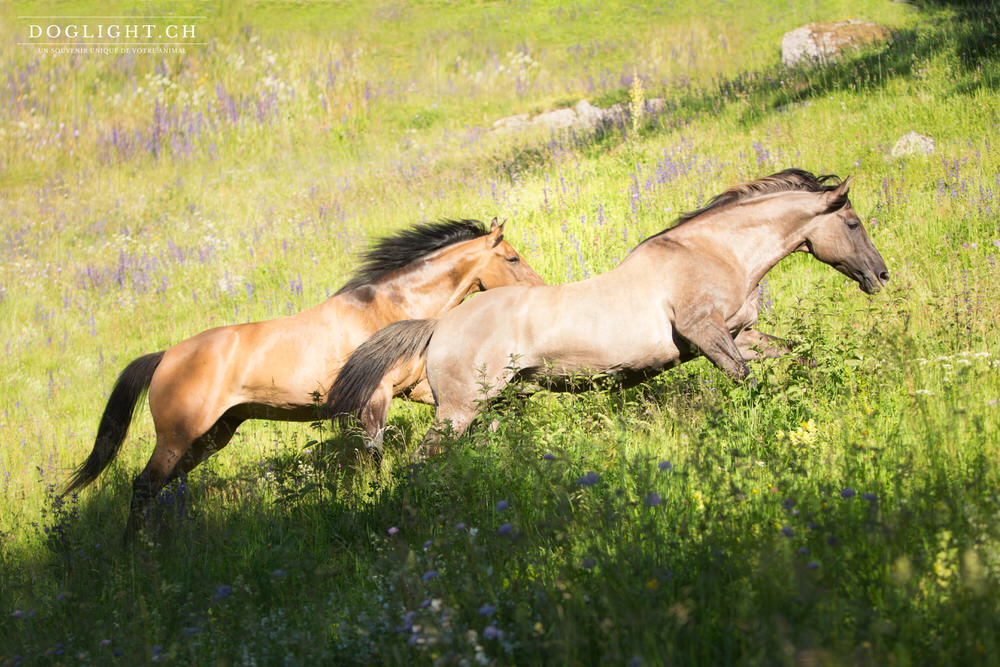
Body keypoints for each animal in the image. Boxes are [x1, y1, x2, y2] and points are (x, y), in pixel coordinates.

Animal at [65, 218, 544, 532]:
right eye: (513, 258)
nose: (541, 291)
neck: (387, 308)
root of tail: (164, 357)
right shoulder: (375, 398)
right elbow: (372, 454)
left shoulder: (415, 388)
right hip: (179, 435)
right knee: (142, 487)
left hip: (211, 436)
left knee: (161, 488)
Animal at [326, 170, 892, 456]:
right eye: (855, 223)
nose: (881, 276)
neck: (712, 253)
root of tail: (440, 322)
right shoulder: (705, 333)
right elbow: (745, 379)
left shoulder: (742, 332)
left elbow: (793, 356)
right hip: (459, 410)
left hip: (494, 404)